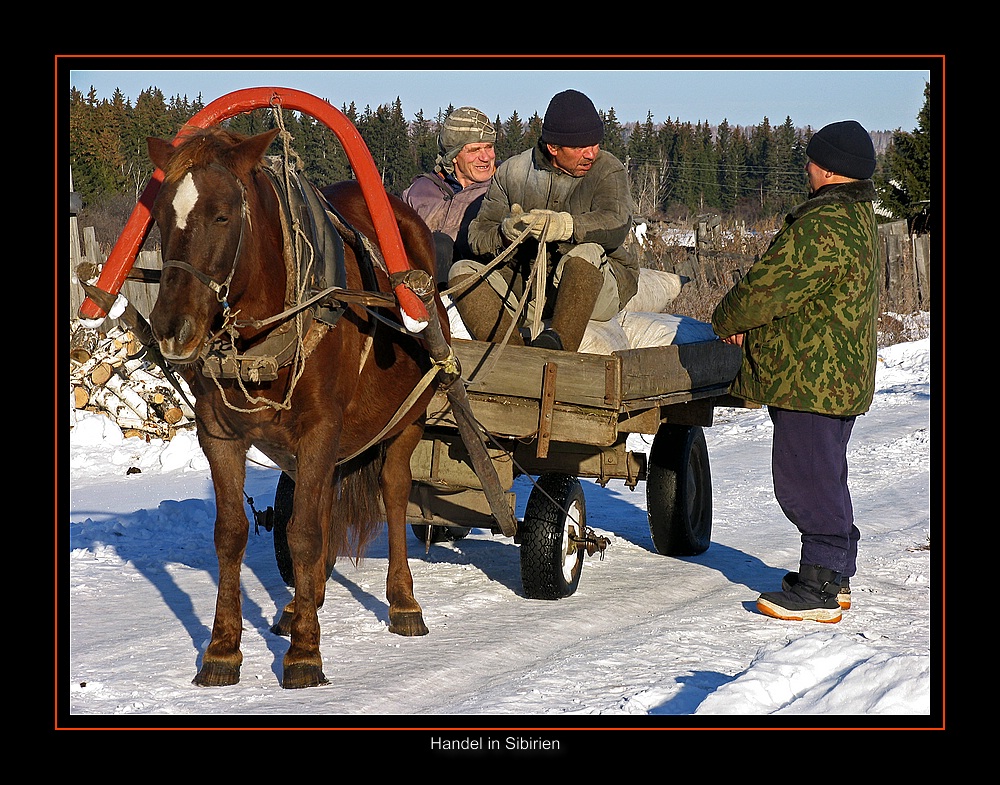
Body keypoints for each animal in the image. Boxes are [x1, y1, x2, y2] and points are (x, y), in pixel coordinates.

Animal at [146, 125, 450, 688]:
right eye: (158, 215)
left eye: (223, 214)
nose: (171, 329)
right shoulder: (219, 432)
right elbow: (232, 533)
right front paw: (222, 649)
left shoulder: (321, 427)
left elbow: (304, 534)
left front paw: (306, 653)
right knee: (325, 500)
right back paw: (301, 603)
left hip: (409, 416)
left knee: (394, 492)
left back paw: (402, 601)